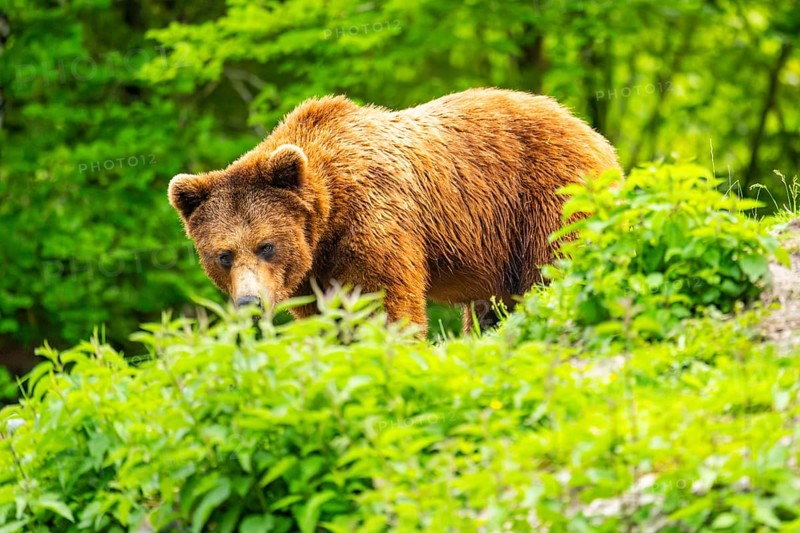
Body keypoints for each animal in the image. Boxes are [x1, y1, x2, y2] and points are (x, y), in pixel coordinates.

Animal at [168, 88, 620, 335]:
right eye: (223, 255)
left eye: (266, 245)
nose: (250, 302)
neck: (328, 220)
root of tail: (591, 132)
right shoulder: (312, 274)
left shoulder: (374, 223)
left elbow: (385, 306)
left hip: (547, 196)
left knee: (556, 265)